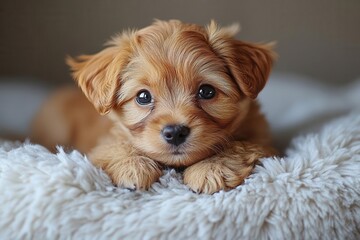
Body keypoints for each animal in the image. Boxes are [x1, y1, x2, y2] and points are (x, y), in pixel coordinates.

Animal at [32, 19, 278, 194]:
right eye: (143, 96)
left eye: (207, 91)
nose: (175, 132)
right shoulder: (103, 143)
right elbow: (115, 146)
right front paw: (133, 165)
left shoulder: (263, 139)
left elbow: (241, 145)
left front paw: (212, 167)